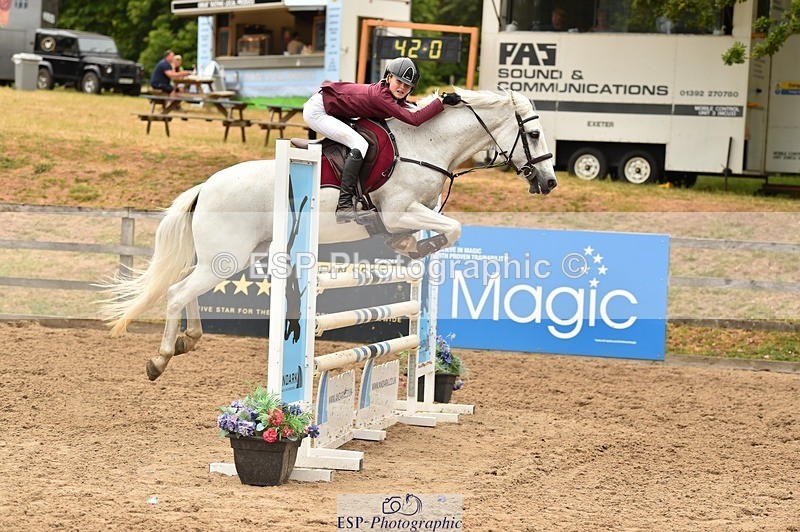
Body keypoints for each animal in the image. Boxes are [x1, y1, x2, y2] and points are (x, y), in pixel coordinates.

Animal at [100, 88, 558, 381]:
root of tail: (205, 187)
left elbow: (447, 228)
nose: (550, 182)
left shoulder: (417, 210)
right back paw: (160, 360)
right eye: (533, 134)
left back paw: (187, 341)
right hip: (225, 260)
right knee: (178, 293)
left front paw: (409, 246)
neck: (425, 143)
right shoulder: (398, 211)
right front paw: (417, 246)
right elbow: (452, 229)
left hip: (224, 259)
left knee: (184, 289)